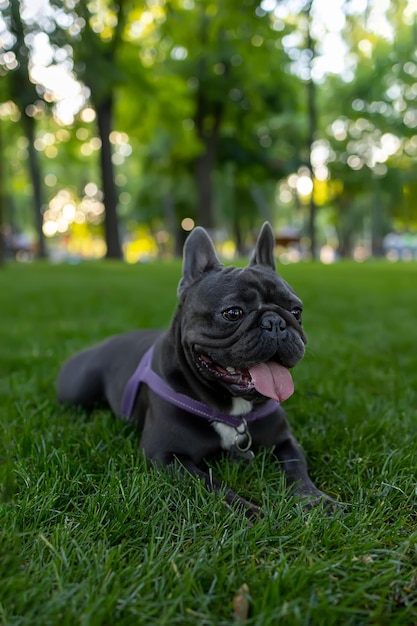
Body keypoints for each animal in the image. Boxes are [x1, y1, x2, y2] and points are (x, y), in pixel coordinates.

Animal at [57, 222, 330, 516]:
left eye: (296, 310)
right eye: (233, 313)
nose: (275, 323)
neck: (232, 410)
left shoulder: (285, 441)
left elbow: (298, 470)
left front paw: (318, 501)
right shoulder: (167, 456)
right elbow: (214, 487)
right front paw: (251, 513)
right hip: (78, 390)